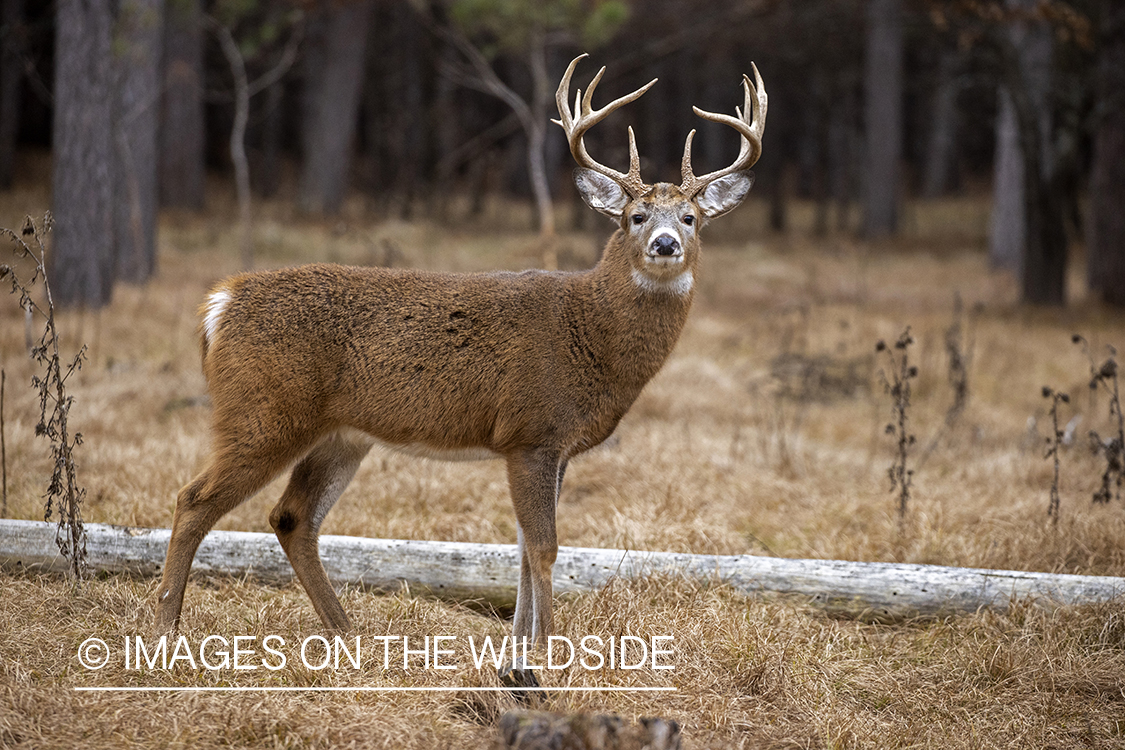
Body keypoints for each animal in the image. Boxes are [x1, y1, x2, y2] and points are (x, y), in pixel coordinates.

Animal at [154, 54, 765, 679]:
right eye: (635, 216)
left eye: (691, 217)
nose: (665, 244)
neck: (590, 332)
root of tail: (219, 304)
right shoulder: (531, 432)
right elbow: (544, 546)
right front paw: (547, 650)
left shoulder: (553, 446)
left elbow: (520, 548)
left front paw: (520, 647)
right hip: (263, 412)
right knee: (194, 500)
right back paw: (166, 630)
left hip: (341, 434)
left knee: (292, 517)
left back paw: (347, 632)